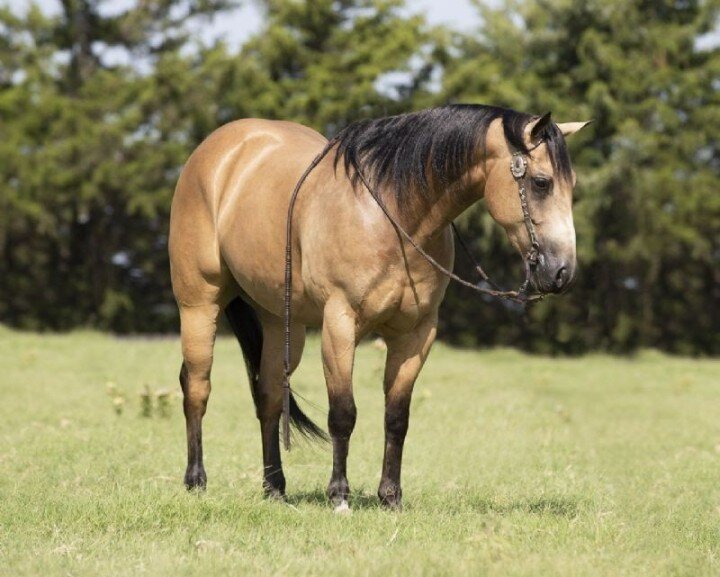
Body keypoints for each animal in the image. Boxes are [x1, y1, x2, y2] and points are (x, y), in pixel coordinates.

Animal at [168, 104, 590, 511]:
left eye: (571, 186)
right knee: (197, 387)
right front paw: (339, 495)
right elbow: (343, 414)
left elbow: (396, 417)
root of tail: (217, 150)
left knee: (269, 396)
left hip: (280, 322)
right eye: (541, 182)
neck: (394, 214)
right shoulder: (339, 324)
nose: (563, 273)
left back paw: (274, 489)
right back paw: (195, 481)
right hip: (199, 305)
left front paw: (390, 496)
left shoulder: (416, 334)